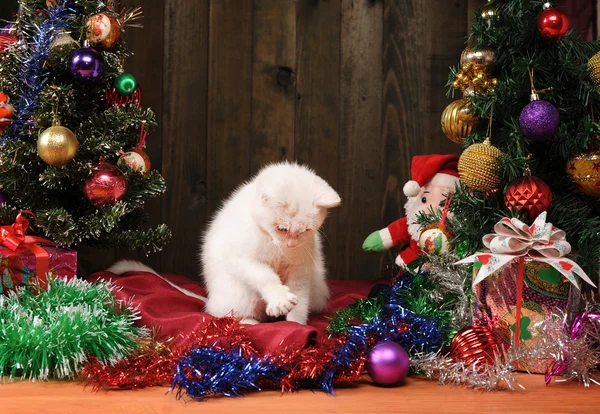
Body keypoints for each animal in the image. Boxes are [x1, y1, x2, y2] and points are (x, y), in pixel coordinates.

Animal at [202, 163, 340, 326]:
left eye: (306, 230)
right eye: (281, 228)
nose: (291, 245)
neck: (275, 245)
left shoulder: (300, 267)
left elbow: (300, 298)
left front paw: (297, 324)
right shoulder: (243, 260)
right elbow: (265, 276)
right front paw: (280, 299)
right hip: (239, 294)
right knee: (224, 313)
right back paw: (249, 321)